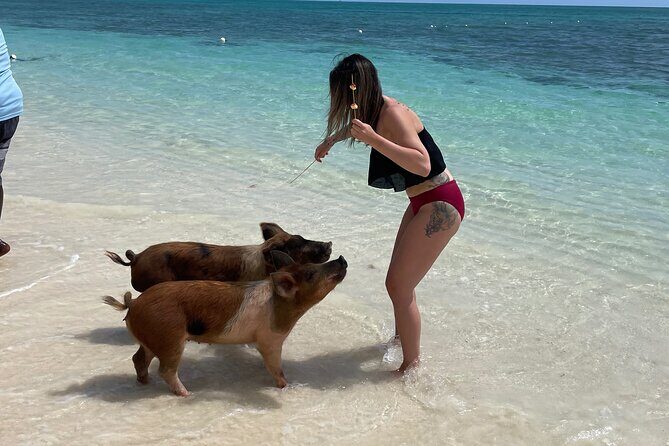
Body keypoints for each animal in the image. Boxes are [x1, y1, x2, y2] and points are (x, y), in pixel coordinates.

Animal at [102, 251, 347, 396]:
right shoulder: (270, 339)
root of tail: (133, 303)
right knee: (166, 370)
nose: (341, 259)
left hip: (152, 339)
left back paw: (145, 382)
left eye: (311, 265)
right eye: (310, 273)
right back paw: (187, 394)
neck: (280, 307)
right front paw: (286, 386)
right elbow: (275, 366)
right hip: (170, 337)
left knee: (139, 359)